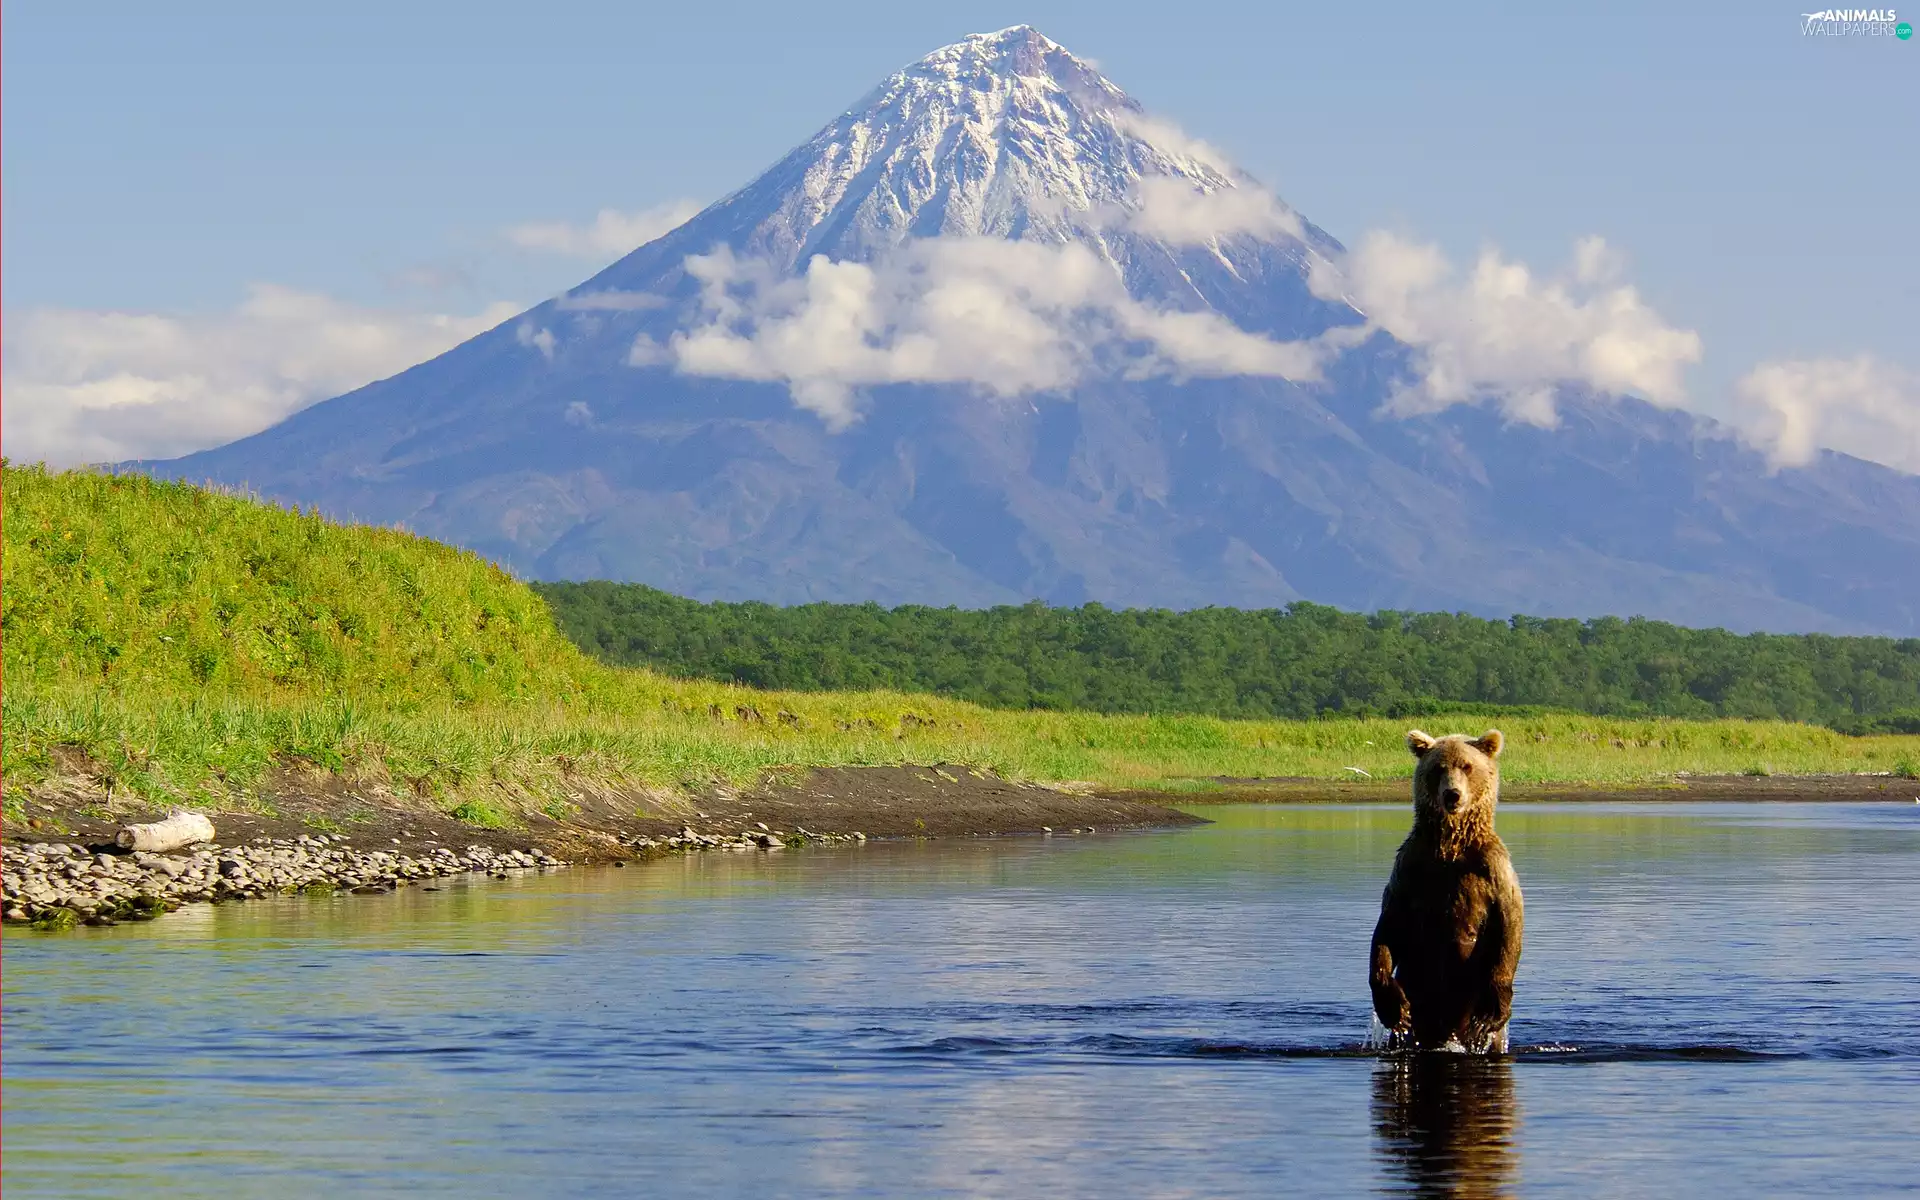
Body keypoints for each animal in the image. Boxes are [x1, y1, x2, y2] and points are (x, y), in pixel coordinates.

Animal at [1369, 729, 1524, 1053]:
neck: (1450, 847)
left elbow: (1509, 925)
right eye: (1438, 768)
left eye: (1467, 766)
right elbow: (1388, 927)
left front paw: (1492, 1012)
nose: (1452, 794)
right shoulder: (1410, 868)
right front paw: (1393, 1007)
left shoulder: (1492, 870)